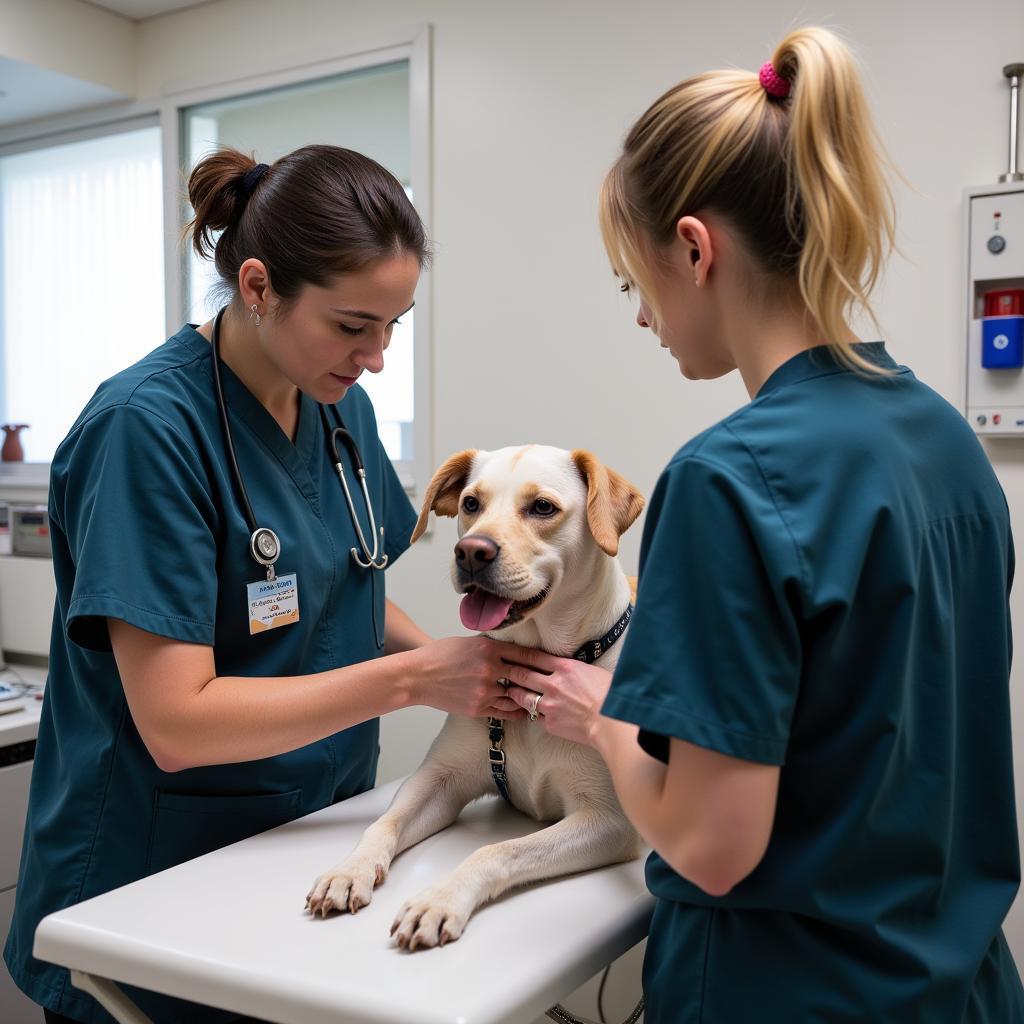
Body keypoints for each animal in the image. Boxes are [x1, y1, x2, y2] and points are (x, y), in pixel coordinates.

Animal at [303, 448, 643, 950]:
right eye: (470, 503)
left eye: (542, 507)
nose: (470, 552)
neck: (533, 663)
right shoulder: (438, 779)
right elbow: (383, 822)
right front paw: (349, 870)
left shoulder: (608, 821)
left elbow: (497, 848)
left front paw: (439, 899)